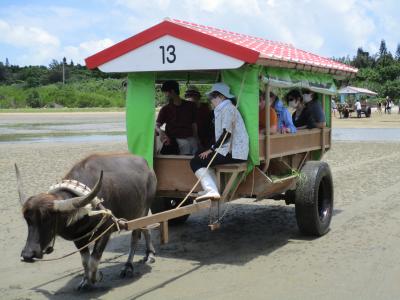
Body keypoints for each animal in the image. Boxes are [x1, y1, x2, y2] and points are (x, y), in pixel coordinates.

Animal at [17, 154, 158, 290]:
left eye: (47, 219)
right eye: (27, 220)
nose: (27, 254)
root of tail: (147, 166)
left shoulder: (106, 231)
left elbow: (94, 259)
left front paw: (96, 277)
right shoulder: (78, 238)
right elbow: (85, 260)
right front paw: (85, 280)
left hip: (143, 211)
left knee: (135, 237)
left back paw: (128, 267)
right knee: (146, 229)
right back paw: (149, 254)